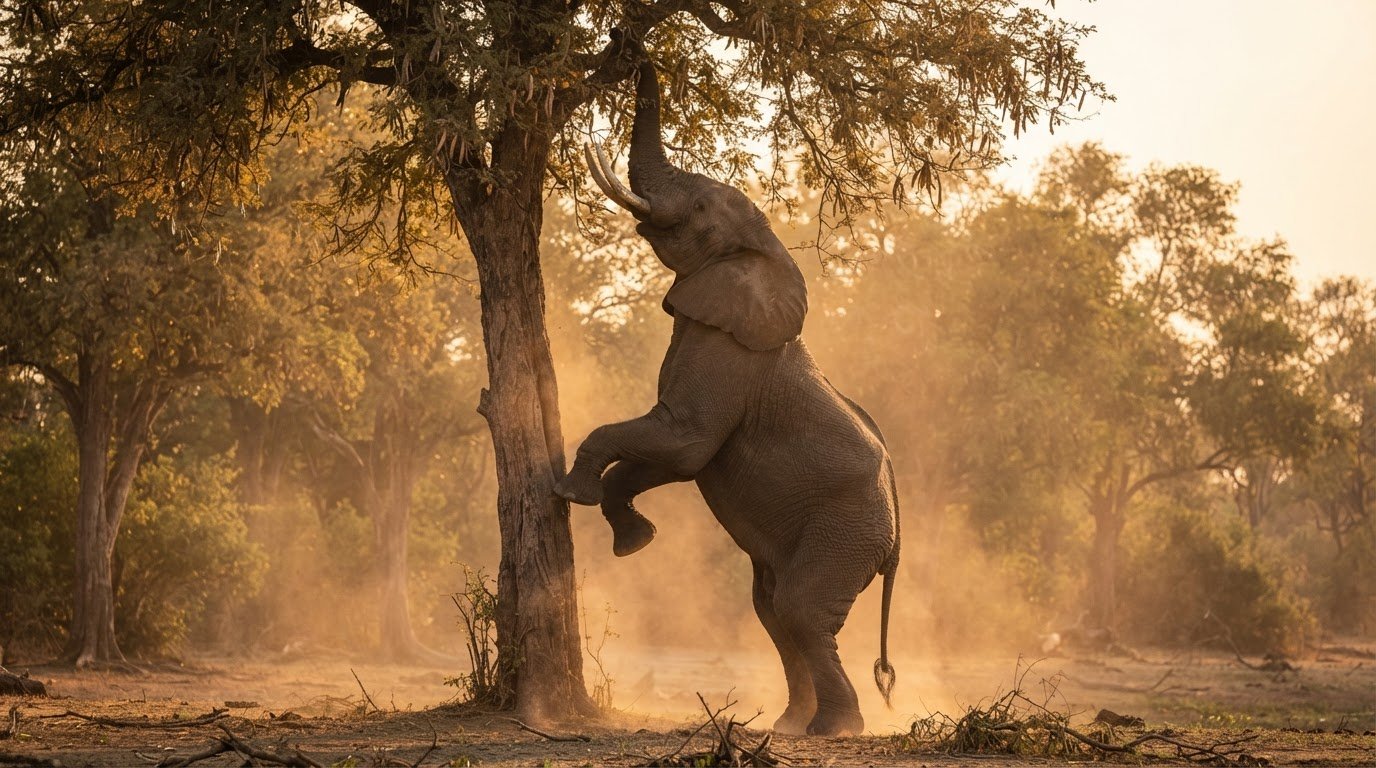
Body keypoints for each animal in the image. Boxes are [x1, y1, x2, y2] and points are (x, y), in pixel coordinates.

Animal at [554, 58, 900, 737]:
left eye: (699, 205)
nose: (635, 54)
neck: (763, 246)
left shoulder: (729, 353)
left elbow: (682, 443)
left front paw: (568, 492)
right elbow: (673, 458)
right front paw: (635, 540)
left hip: (849, 526)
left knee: (801, 609)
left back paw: (833, 729)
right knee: (771, 607)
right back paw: (789, 724)